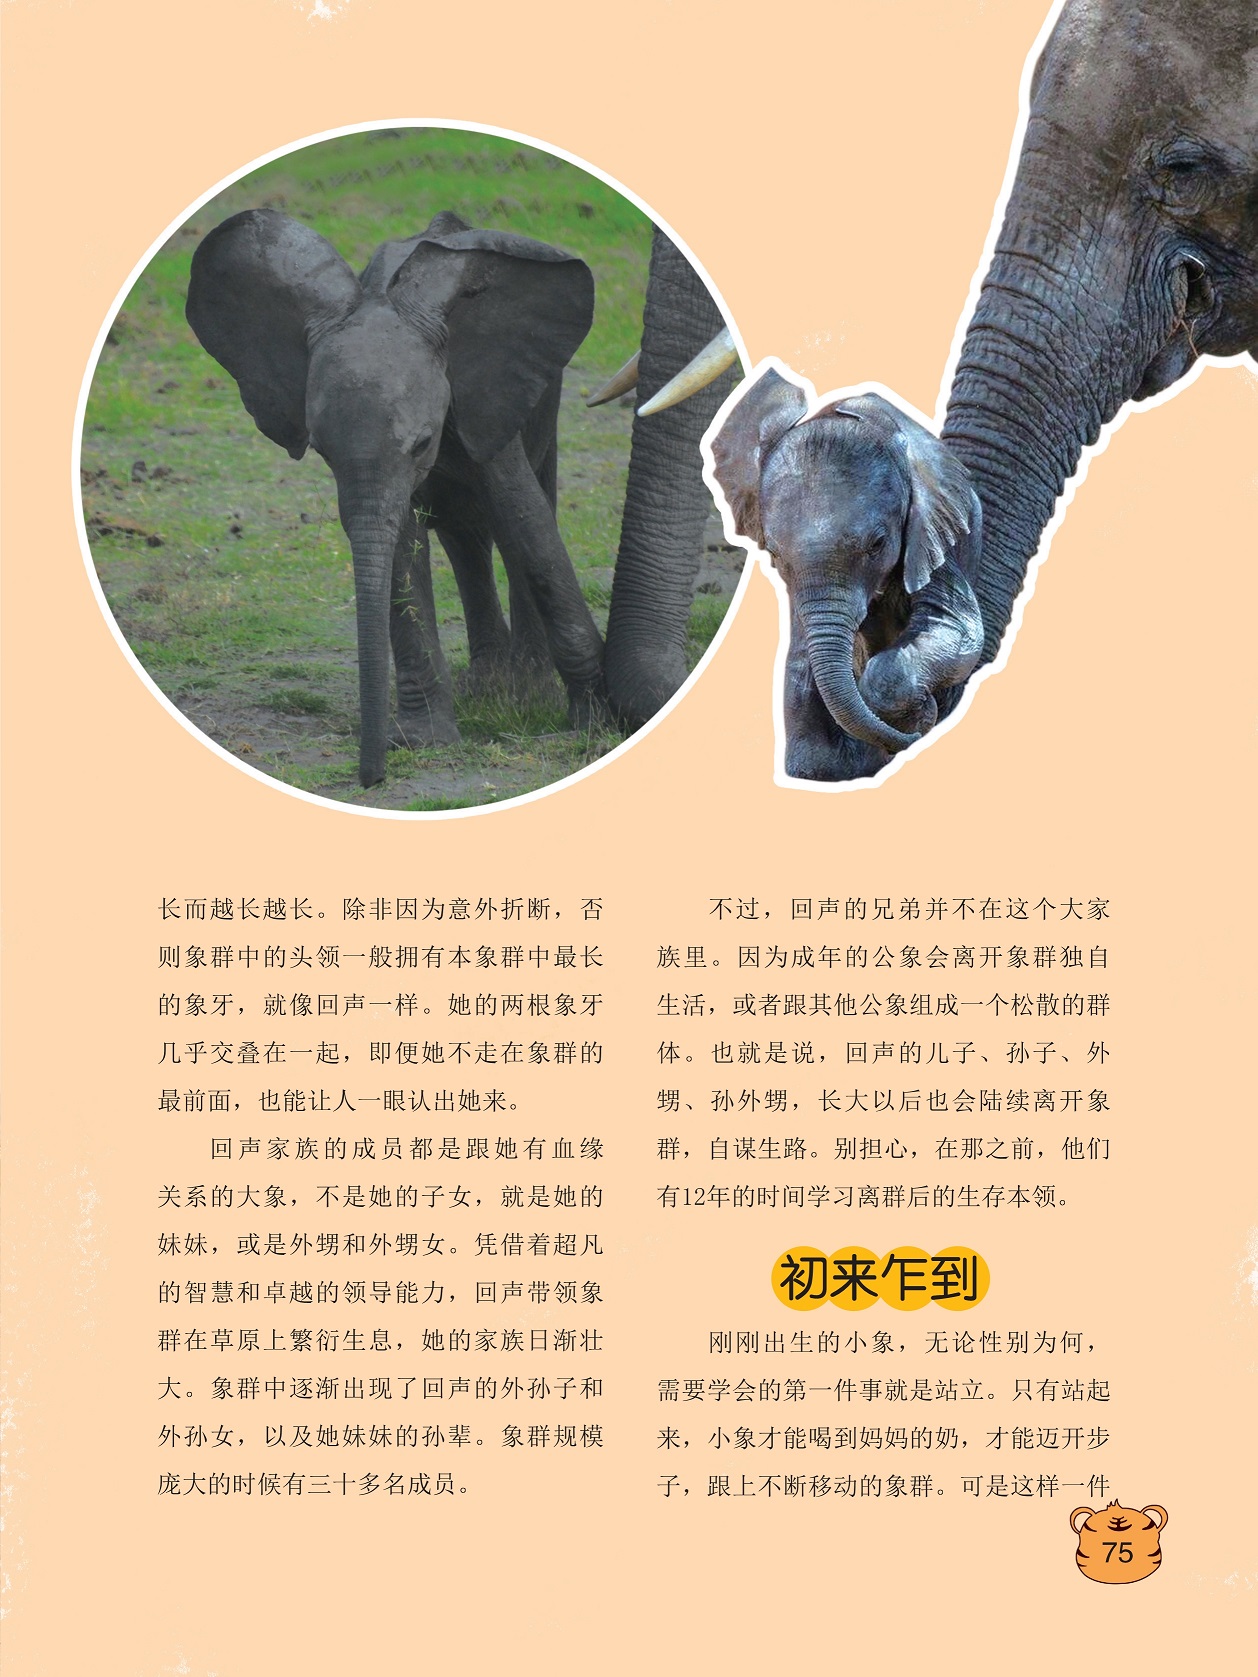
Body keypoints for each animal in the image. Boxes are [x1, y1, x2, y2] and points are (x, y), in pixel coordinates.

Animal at [186, 207, 604, 786]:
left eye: (423, 442)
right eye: (320, 450)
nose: (370, 777)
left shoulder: (480, 393)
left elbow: (527, 521)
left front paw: (596, 721)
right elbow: (402, 549)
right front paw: (422, 742)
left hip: (544, 403)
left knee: (518, 514)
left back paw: (525, 689)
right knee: (464, 534)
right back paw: (491, 687)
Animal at [709, 365, 984, 782]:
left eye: (877, 544)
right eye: (774, 554)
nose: (921, 723)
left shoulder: (933, 528)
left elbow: (957, 625)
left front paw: (913, 719)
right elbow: (803, 664)